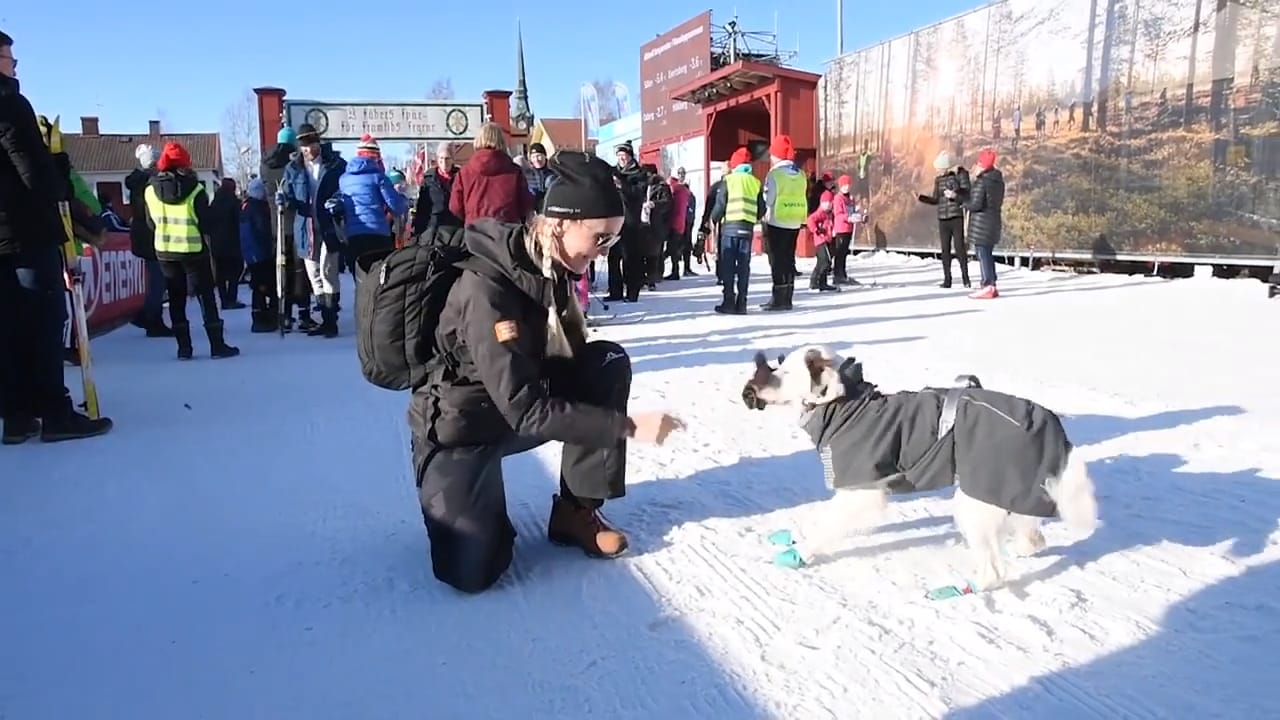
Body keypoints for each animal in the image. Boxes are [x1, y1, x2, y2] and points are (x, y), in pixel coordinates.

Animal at [747, 345, 1095, 589]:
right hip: (1013, 489)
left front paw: (801, 553)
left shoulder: (861, 491)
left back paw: (968, 587)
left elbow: (826, 524)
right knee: (1031, 532)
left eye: (786, 372)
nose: (754, 386)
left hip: (975, 501)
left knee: (994, 570)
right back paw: (1024, 546)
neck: (845, 407)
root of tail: (1050, 423)